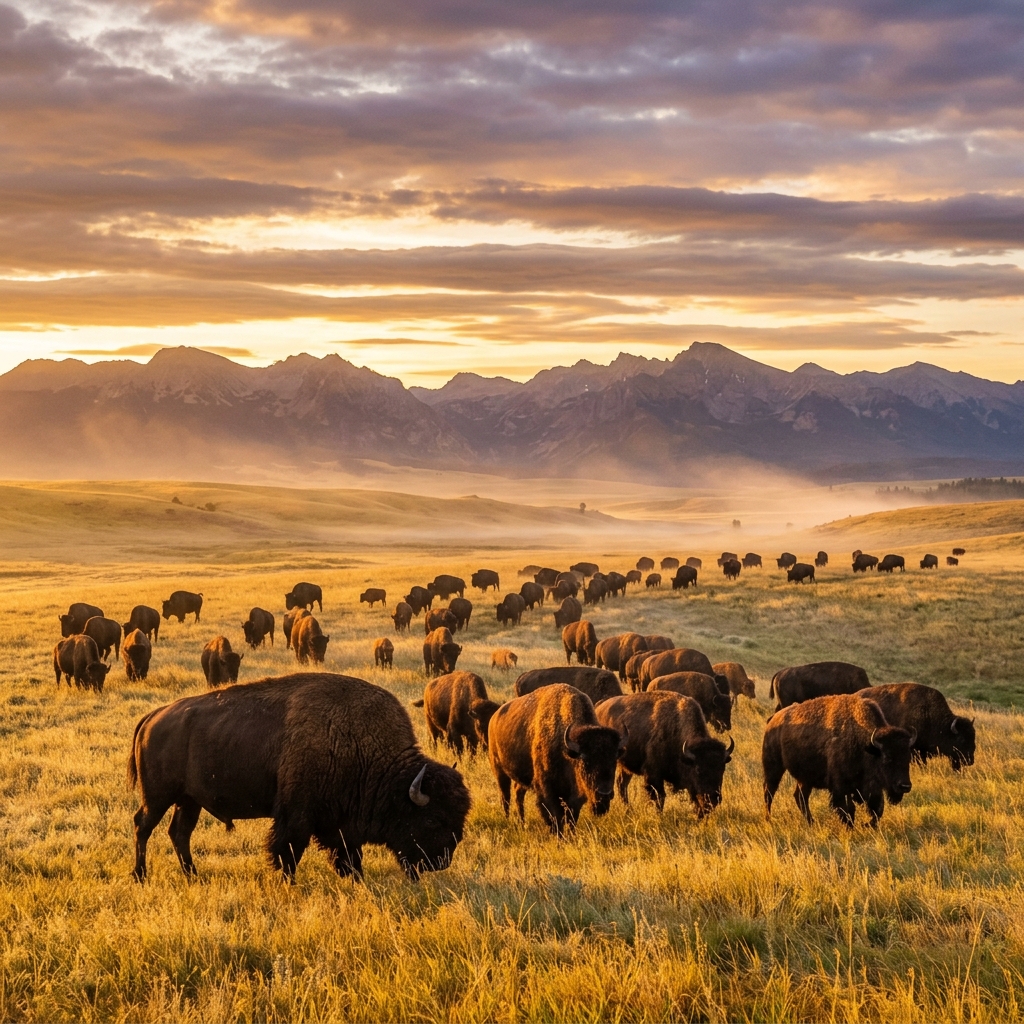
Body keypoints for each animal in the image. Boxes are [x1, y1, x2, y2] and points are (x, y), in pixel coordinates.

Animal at [128, 673, 471, 881]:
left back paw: (192, 875)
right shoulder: (297, 815)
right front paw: (286, 882)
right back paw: (141, 875)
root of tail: (154, 716)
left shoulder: (339, 823)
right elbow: (289, 851)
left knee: (179, 833)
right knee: (143, 826)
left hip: (189, 801)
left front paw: (354, 879)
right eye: (432, 819)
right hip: (158, 796)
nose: (441, 861)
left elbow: (349, 855)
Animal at [488, 683, 623, 834]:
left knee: (518, 793)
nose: (604, 794)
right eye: (585, 761)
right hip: (499, 770)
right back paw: (508, 819)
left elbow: (571, 818)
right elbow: (555, 819)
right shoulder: (547, 793)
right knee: (505, 796)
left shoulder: (574, 799)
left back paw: (522, 822)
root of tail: (494, 717)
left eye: (614, 761)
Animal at [596, 691, 733, 817]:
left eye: (722, 769)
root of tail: (599, 707)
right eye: (698, 770)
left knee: (622, 784)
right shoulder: (653, 775)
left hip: (625, 767)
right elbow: (659, 797)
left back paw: (629, 810)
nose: (713, 798)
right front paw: (659, 816)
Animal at [762, 694, 915, 827]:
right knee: (769, 792)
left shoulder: (871, 789)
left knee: (800, 797)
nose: (905, 786)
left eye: (908, 757)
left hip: (805, 778)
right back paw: (768, 820)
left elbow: (877, 810)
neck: (866, 745)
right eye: (887, 757)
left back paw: (811, 822)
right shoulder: (841, 788)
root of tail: (773, 719)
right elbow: (848, 810)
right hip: (774, 767)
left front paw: (866, 825)